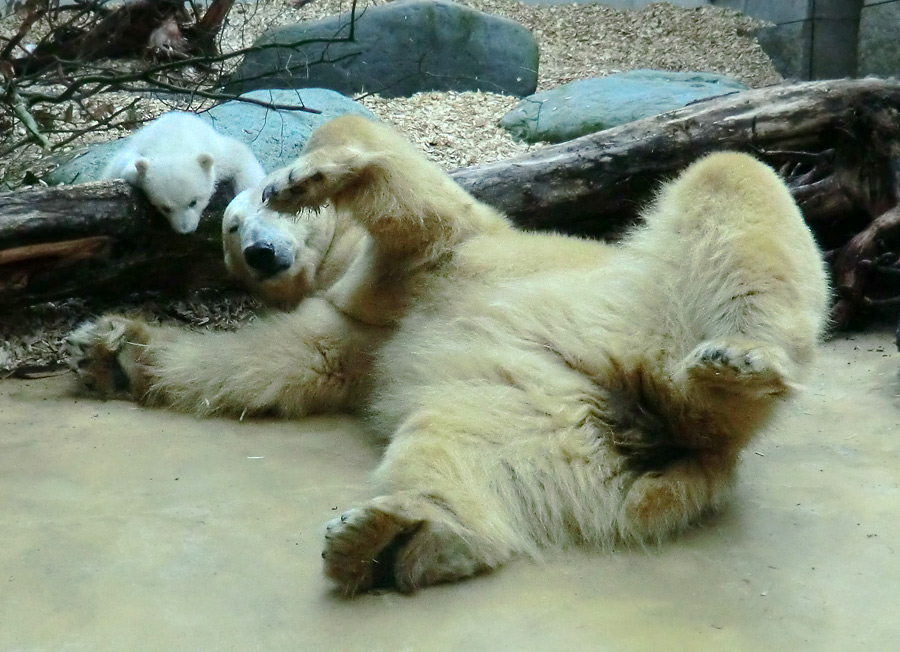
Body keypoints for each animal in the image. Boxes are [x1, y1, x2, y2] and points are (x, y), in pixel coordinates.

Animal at [70, 116, 828, 596]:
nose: (258, 253)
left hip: (650, 307)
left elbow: (423, 206)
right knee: (463, 444)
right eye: (231, 235)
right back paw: (395, 538)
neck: (343, 267)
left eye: (247, 210)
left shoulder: (446, 252)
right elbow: (270, 361)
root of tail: (681, 446)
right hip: (553, 421)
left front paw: (311, 175)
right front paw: (107, 350)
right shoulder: (359, 328)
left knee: (730, 178)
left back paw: (740, 362)